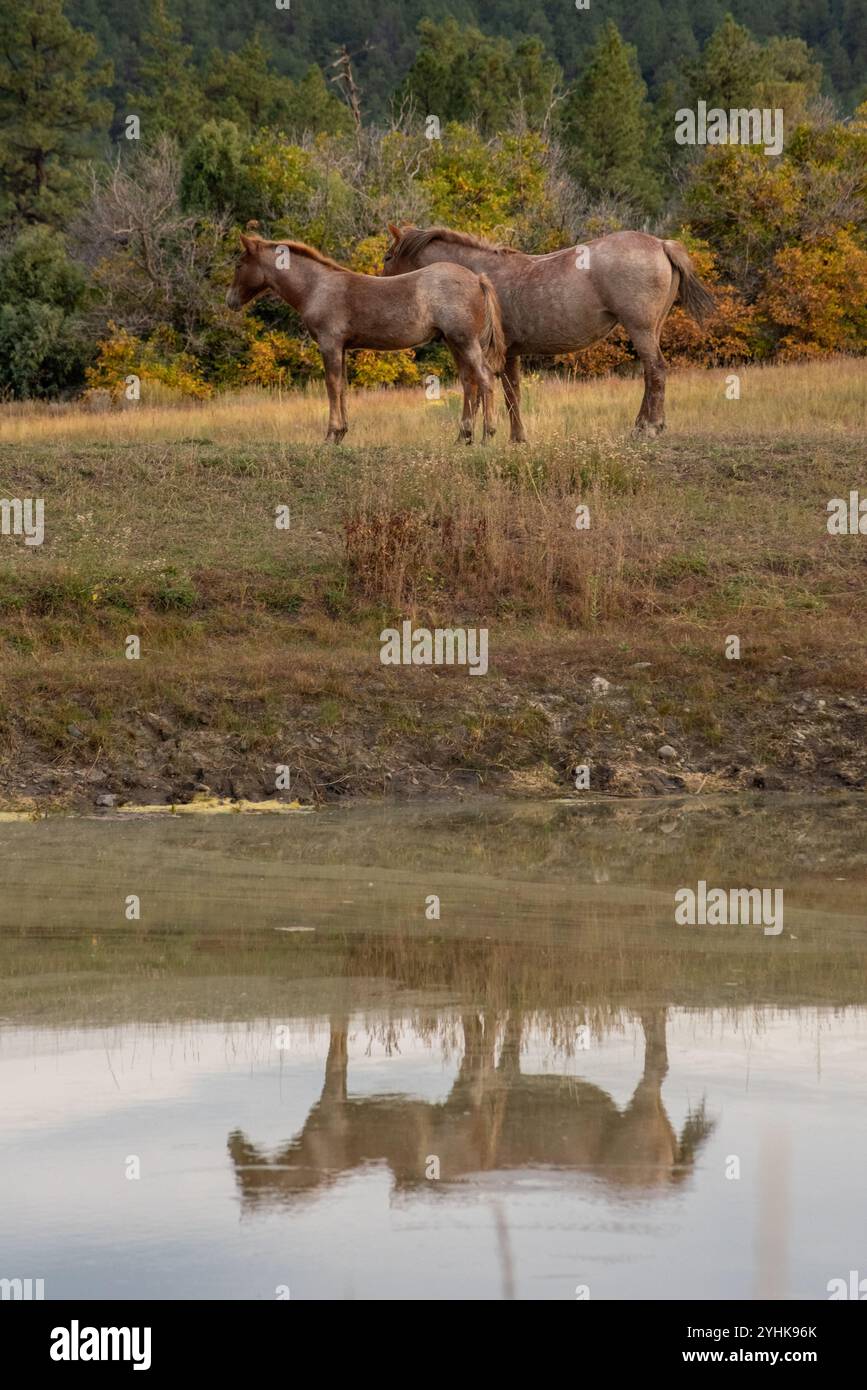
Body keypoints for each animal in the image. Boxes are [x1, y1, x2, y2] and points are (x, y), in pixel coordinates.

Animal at [227, 233, 506, 443]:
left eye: (239, 265)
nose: (230, 301)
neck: (316, 287)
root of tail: (477, 278)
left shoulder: (329, 344)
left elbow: (331, 385)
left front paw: (330, 435)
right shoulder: (342, 348)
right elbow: (342, 387)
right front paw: (341, 433)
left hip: (465, 340)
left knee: (485, 376)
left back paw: (487, 435)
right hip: (453, 341)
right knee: (468, 381)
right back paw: (463, 437)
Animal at [381, 223, 716, 440]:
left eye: (388, 257)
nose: (380, 285)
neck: (476, 277)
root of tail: (661, 244)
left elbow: (491, 391)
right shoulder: (509, 354)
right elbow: (511, 393)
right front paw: (517, 437)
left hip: (641, 328)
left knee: (656, 370)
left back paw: (651, 427)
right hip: (652, 329)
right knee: (650, 373)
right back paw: (641, 426)